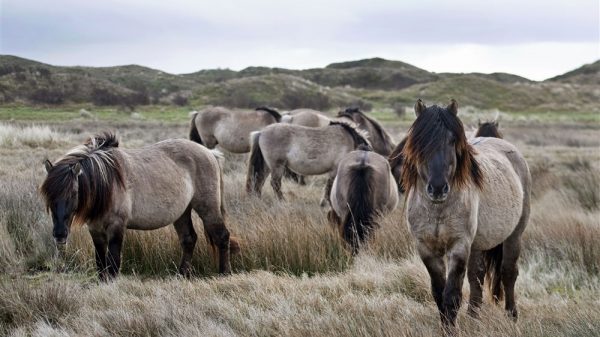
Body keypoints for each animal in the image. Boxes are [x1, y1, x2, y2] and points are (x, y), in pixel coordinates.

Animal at [39, 132, 237, 280]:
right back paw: (182, 275)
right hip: (182, 212)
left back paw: (224, 273)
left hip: (208, 208)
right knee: (188, 239)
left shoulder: (117, 227)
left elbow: (112, 263)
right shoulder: (95, 229)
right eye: (48, 196)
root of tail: (209, 153)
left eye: (74, 193)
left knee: (222, 236)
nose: (59, 235)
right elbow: (100, 263)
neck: (107, 181)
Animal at [400, 98, 532, 332]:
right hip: (478, 244)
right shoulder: (426, 249)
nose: (437, 188)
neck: (438, 209)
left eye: (452, 141)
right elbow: (439, 294)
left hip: (513, 236)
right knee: (476, 276)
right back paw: (473, 316)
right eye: (420, 142)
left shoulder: (459, 246)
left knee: (508, 273)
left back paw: (512, 316)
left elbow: (452, 295)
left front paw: (451, 330)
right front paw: (445, 327)